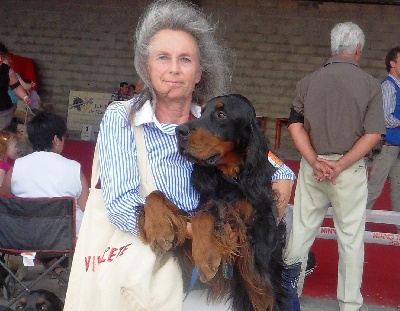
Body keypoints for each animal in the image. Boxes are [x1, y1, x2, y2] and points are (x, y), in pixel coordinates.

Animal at [139, 94, 286, 310]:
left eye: (221, 115)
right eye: (201, 112)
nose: (179, 131)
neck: (228, 179)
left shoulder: (256, 259)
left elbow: (209, 212)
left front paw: (205, 256)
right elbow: (157, 196)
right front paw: (159, 229)